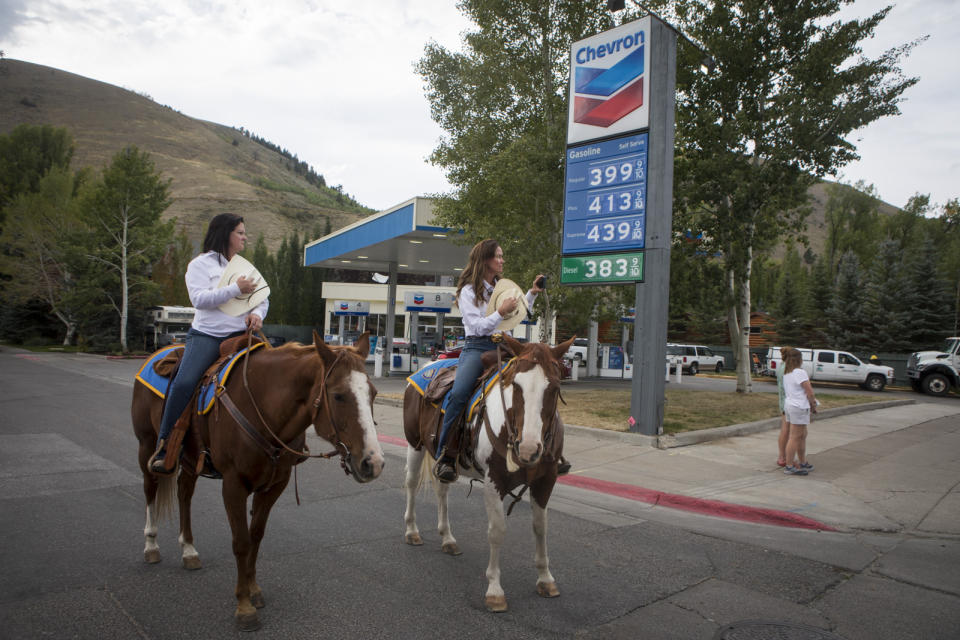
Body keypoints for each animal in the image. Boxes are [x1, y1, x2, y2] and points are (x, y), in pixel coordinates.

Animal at [132, 332, 386, 632]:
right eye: (338, 395)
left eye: (373, 393)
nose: (373, 462)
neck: (263, 408)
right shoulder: (233, 485)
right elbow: (241, 541)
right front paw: (244, 607)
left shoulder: (275, 484)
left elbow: (256, 535)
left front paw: (253, 590)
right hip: (147, 445)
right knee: (150, 488)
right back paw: (151, 545)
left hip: (190, 458)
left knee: (184, 493)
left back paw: (189, 550)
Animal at [402, 332, 572, 612]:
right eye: (515, 385)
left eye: (555, 387)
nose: (529, 449)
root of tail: (427, 367)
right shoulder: (494, 483)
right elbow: (497, 531)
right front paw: (494, 590)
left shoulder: (545, 482)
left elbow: (540, 527)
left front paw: (545, 579)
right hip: (415, 444)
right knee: (412, 483)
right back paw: (412, 531)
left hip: (444, 460)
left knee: (442, 490)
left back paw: (447, 538)